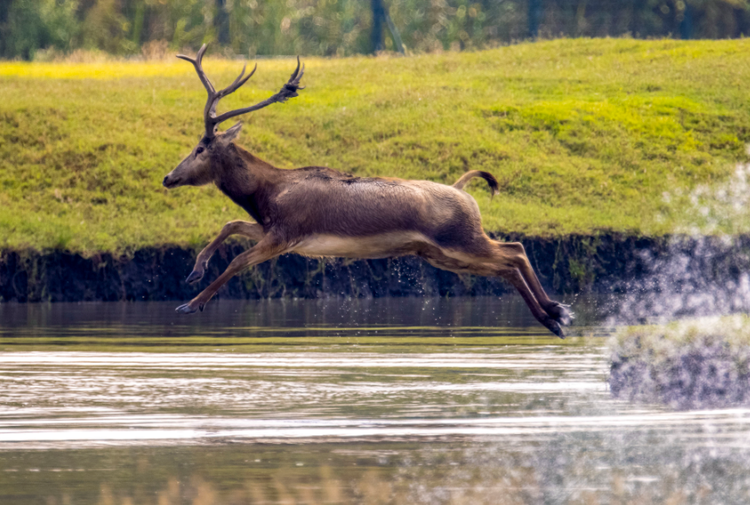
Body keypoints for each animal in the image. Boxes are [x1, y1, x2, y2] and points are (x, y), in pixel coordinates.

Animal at [164, 45, 572, 336]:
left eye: (199, 148)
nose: (169, 177)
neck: (265, 194)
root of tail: (466, 192)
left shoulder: (286, 234)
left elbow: (236, 260)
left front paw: (191, 303)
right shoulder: (272, 229)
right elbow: (231, 223)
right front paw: (194, 271)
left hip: (460, 239)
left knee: (513, 251)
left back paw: (556, 313)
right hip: (439, 253)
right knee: (507, 261)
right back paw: (554, 315)